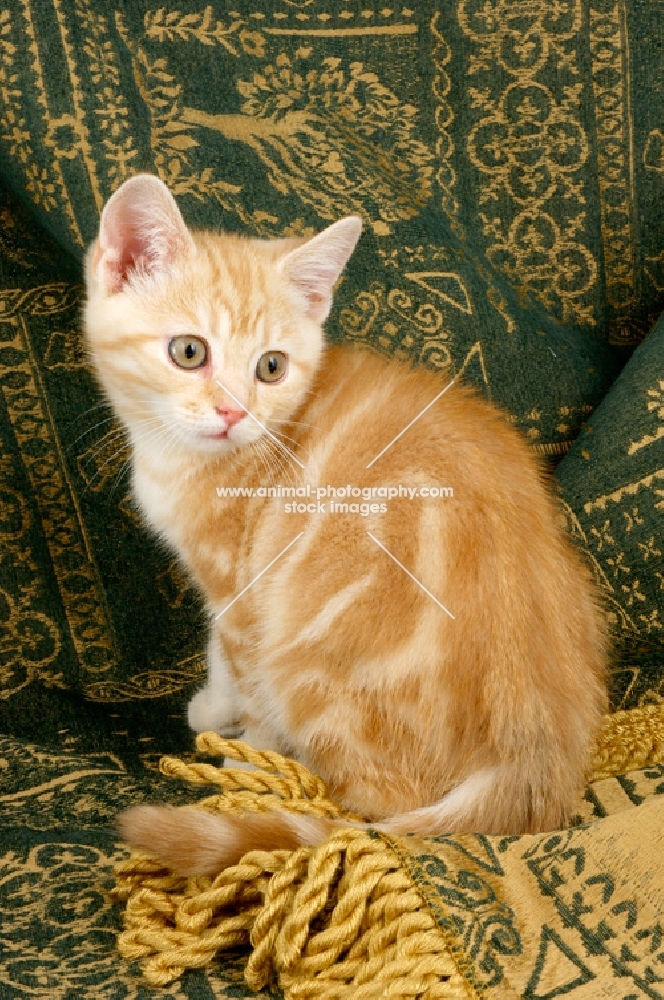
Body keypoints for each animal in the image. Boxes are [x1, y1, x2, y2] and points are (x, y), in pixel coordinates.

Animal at [85, 174, 608, 876]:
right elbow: (221, 653)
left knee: (377, 804)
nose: (233, 413)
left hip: (310, 651)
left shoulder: (240, 586)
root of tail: (537, 760)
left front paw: (243, 752)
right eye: (188, 352)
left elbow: (239, 668)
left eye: (271, 367)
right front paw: (217, 713)